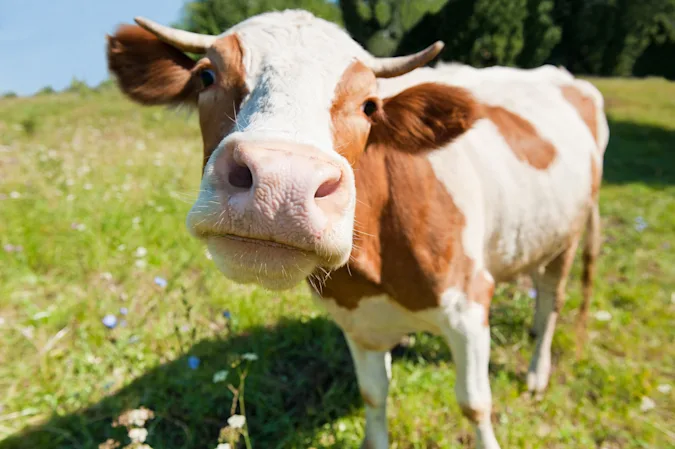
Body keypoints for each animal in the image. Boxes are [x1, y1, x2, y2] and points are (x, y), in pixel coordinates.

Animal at [106, 9, 609, 449]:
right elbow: (374, 394)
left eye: (369, 105)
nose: (282, 184)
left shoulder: (468, 304)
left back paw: (537, 373)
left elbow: (475, 403)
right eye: (207, 77)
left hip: (569, 233)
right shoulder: (357, 319)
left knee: (550, 302)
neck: (376, 267)